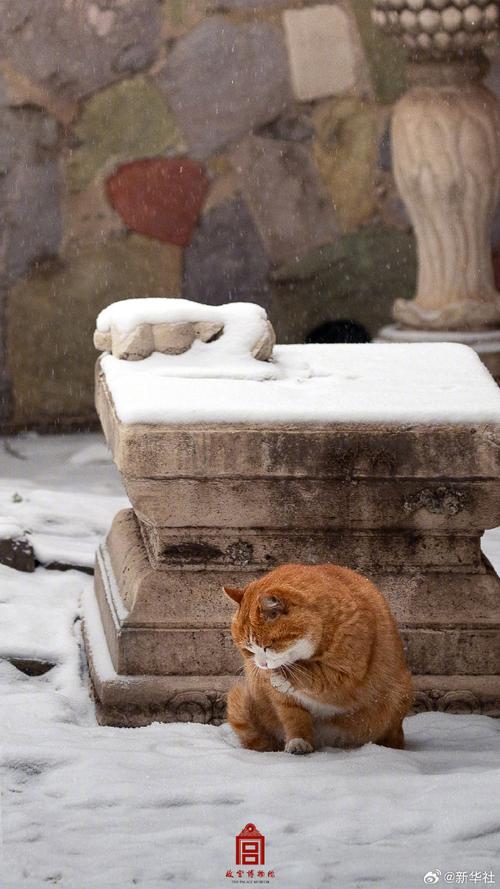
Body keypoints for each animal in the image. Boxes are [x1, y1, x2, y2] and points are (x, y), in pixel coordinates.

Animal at [225, 564, 412, 752]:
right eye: (248, 650)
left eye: (268, 646)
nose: (262, 665)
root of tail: (328, 741)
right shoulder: (284, 701)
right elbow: (294, 718)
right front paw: (299, 740)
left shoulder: (346, 675)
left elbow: (315, 676)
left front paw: (282, 676)